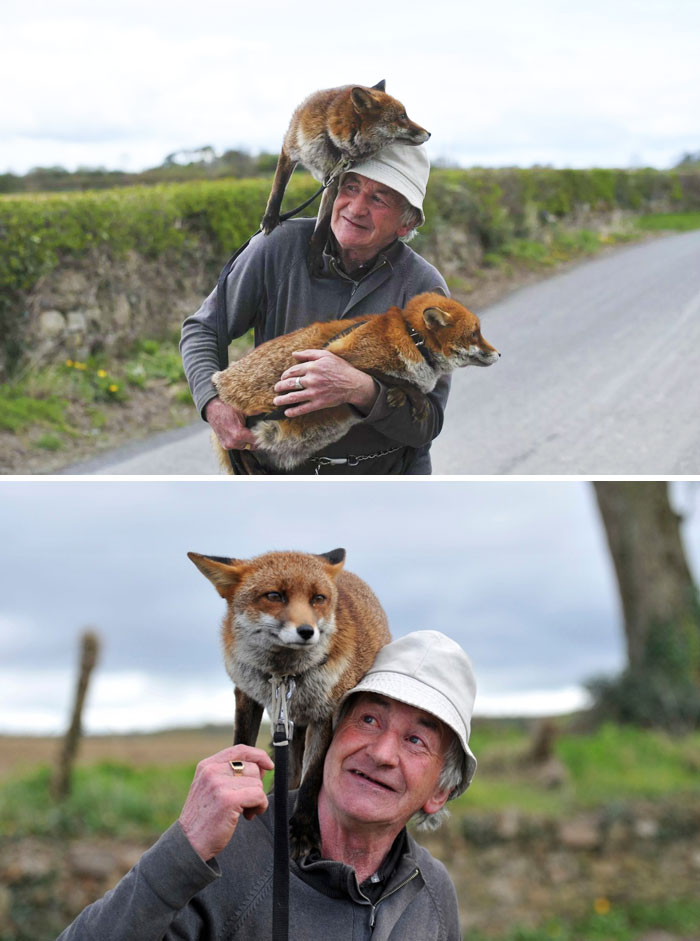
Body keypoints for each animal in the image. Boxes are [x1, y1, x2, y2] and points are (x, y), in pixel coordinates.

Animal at [187, 547, 391, 857]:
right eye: (274, 596)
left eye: (318, 598)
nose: (307, 631)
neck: (284, 675)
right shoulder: (246, 695)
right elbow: (241, 746)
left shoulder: (327, 713)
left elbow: (312, 777)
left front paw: (304, 829)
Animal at [212, 291, 500, 472]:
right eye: (475, 334)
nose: (499, 354)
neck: (411, 337)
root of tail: (220, 381)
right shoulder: (340, 356)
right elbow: (391, 379)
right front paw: (409, 395)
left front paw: (398, 394)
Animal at [260, 81, 430, 273]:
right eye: (402, 116)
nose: (429, 133)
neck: (332, 142)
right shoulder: (289, 150)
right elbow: (277, 189)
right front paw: (270, 219)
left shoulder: (334, 180)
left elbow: (323, 223)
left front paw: (314, 255)